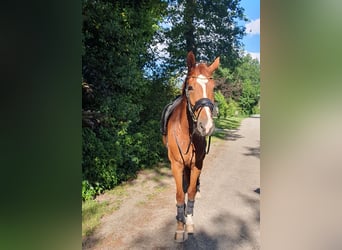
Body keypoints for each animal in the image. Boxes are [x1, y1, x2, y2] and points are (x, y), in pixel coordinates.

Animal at [162, 51, 219, 242]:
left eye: (213, 88)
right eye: (191, 87)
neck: (187, 132)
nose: (206, 126)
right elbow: (180, 195)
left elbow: (192, 192)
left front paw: (189, 220)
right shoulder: (176, 164)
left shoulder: (196, 164)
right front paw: (180, 227)